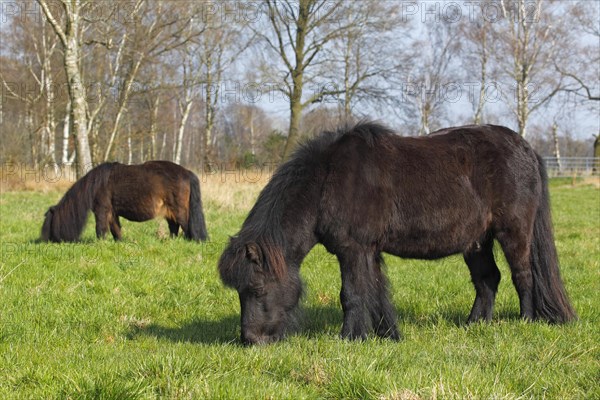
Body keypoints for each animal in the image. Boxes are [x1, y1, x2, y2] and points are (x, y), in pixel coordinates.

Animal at [40, 161, 209, 242]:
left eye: (50, 223)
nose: (46, 241)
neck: (95, 185)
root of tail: (186, 172)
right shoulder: (112, 213)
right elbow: (116, 231)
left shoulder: (102, 211)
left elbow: (100, 229)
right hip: (169, 212)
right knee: (174, 228)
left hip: (179, 210)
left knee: (187, 228)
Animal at [219, 121, 576, 344]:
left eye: (257, 289)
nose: (250, 340)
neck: (327, 181)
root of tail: (526, 148)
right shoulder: (369, 252)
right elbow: (376, 292)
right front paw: (386, 335)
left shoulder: (354, 250)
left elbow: (352, 294)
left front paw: (349, 338)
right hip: (477, 241)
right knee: (488, 279)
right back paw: (475, 324)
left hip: (513, 231)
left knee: (523, 275)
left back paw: (527, 321)